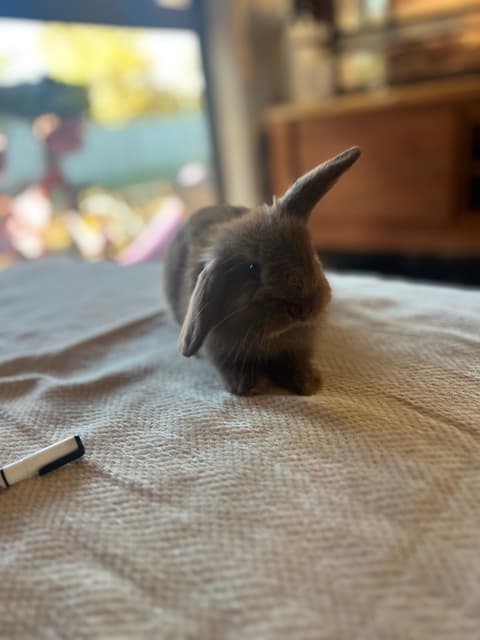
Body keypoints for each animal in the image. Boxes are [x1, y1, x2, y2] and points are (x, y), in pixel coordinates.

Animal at [163, 146, 360, 396]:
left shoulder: (297, 347)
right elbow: (229, 367)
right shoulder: (220, 351)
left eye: (309, 250)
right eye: (251, 268)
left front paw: (308, 383)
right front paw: (246, 385)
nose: (304, 309)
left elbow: (295, 362)